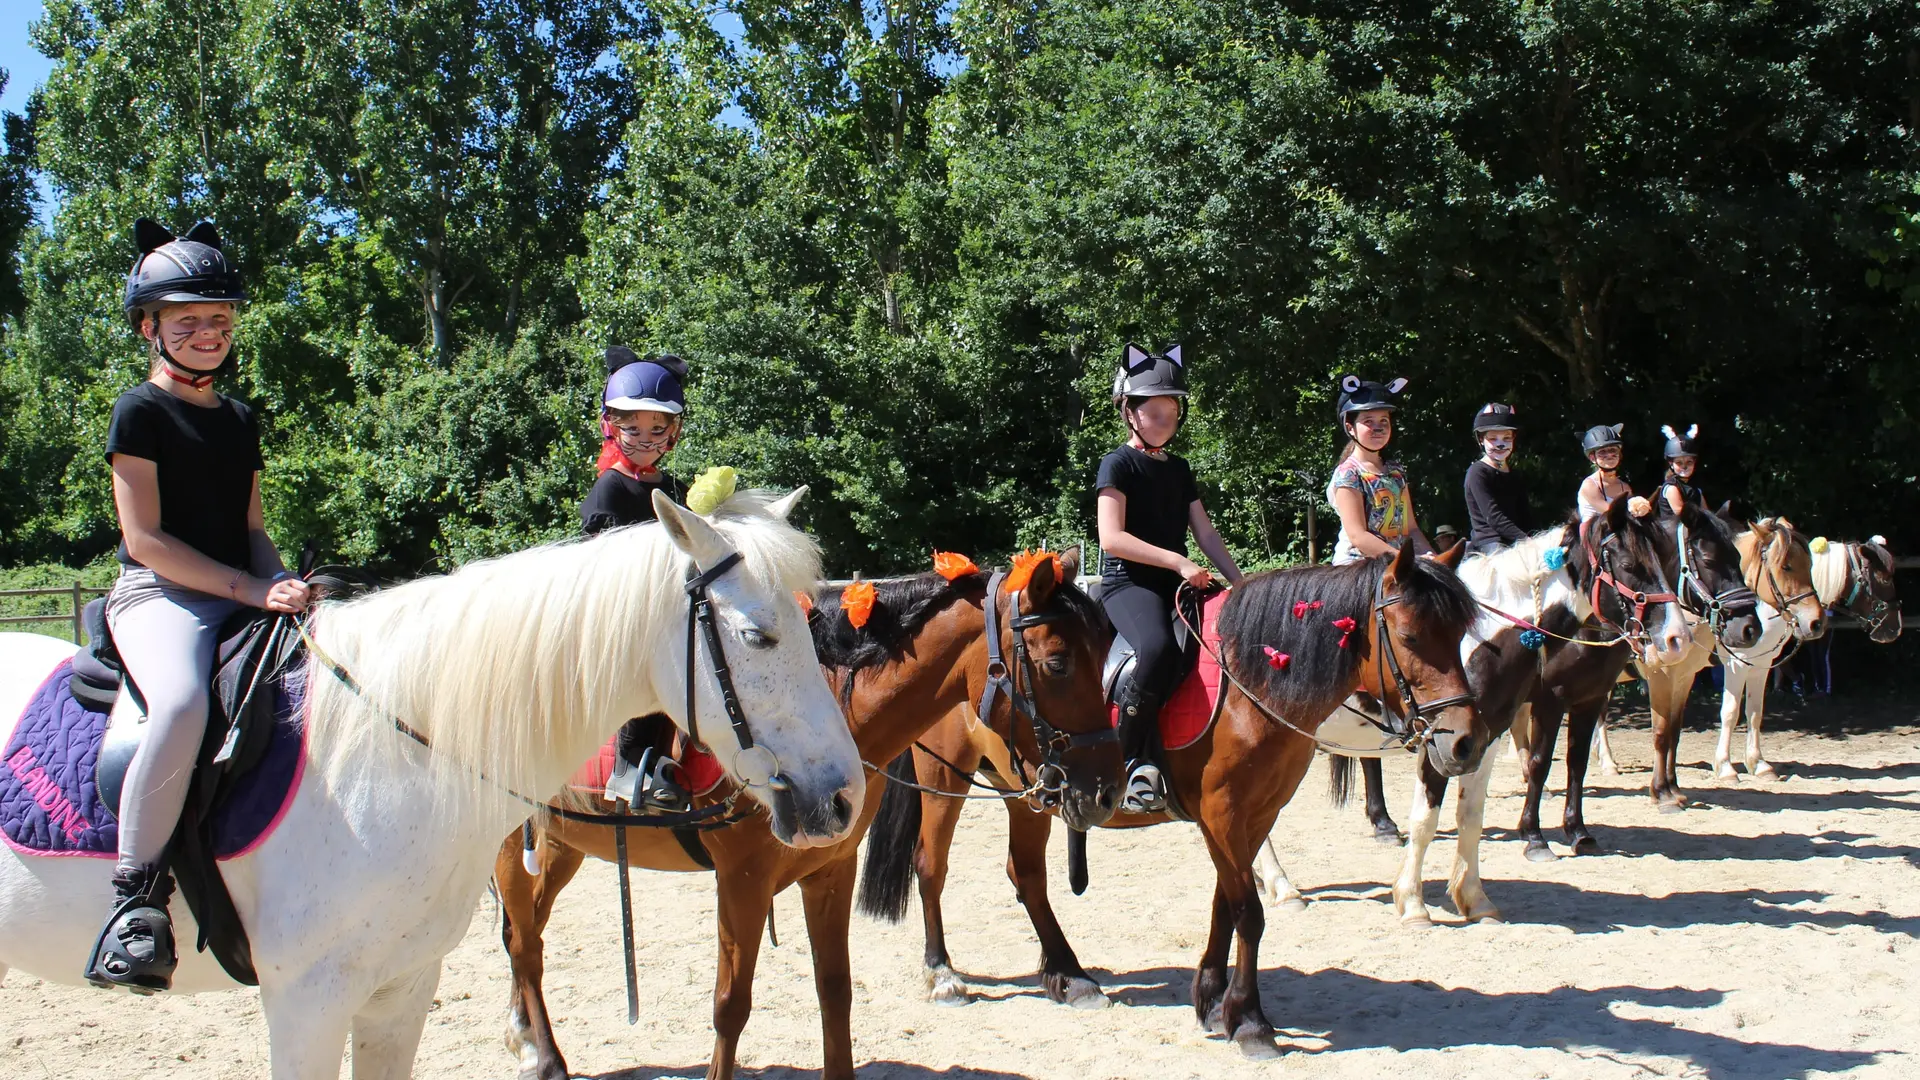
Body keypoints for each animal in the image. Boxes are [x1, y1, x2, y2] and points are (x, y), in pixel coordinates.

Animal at [860, 541, 1482, 1053]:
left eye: (1459, 638)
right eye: (1409, 638)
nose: (1464, 741)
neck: (1255, 679)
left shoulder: (1255, 814)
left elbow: (1226, 904)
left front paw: (1211, 999)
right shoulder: (1223, 813)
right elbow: (1248, 912)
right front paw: (1250, 1022)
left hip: (1027, 788)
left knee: (1026, 875)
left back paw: (1069, 976)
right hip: (946, 779)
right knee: (931, 866)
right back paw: (944, 974)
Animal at [1259, 499, 1697, 922]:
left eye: (1664, 559)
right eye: (1630, 566)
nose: (1677, 638)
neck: (1482, 642)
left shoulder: (1484, 740)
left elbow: (1471, 816)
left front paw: (1474, 899)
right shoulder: (1439, 743)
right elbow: (1426, 820)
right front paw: (1412, 903)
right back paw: (1284, 887)